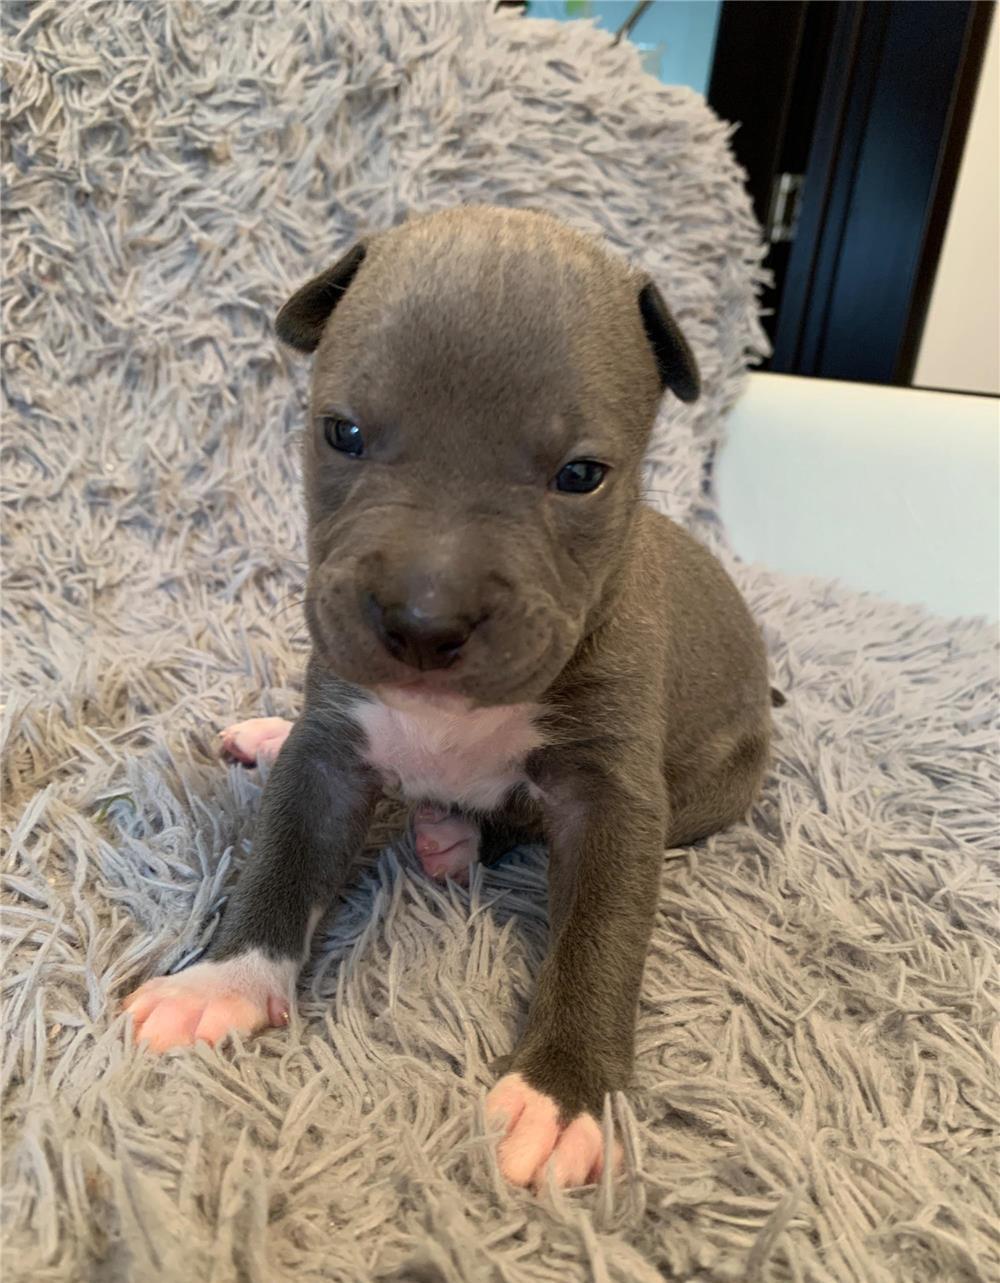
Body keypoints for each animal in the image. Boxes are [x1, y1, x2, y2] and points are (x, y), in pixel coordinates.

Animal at [123, 206, 772, 1190]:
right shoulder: (333, 749)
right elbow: (282, 855)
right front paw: (222, 983)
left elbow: (601, 936)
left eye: (581, 474)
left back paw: (455, 833)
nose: (424, 621)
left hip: (715, 786)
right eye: (343, 432)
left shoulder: (613, 797)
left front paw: (565, 1092)